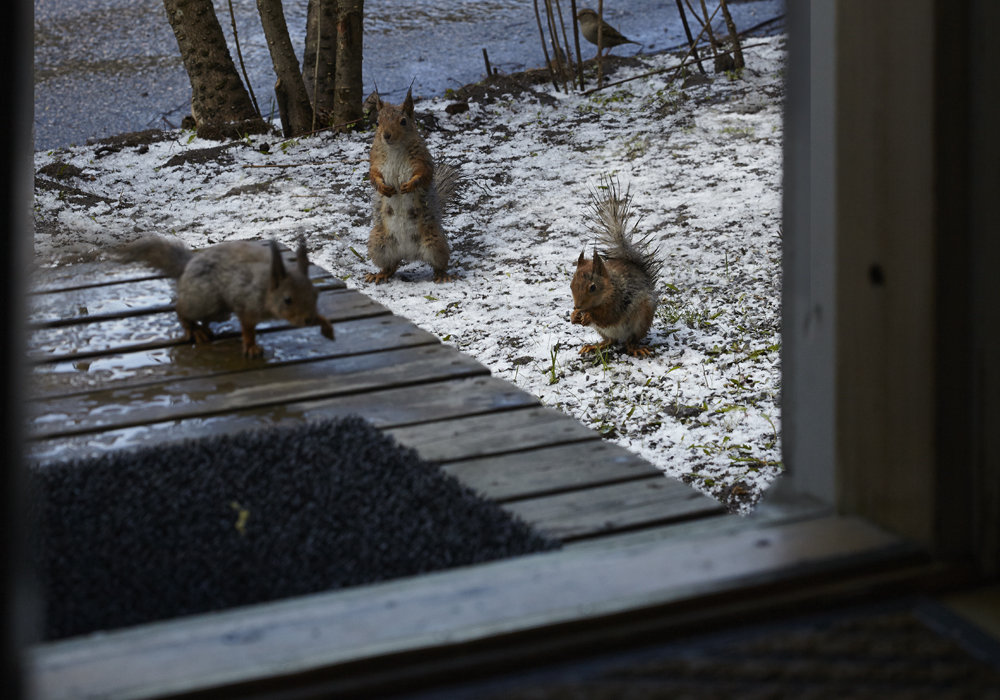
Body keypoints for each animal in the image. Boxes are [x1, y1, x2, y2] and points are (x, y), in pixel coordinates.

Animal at [119, 238, 334, 358]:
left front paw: (326, 324)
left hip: (220, 313)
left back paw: (203, 329)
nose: (308, 319)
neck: (266, 287)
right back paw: (193, 329)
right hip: (205, 301)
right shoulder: (246, 304)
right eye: (287, 300)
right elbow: (247, 327)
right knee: (181, 309)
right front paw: (251, 346)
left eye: (316, 294)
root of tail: (189, 265)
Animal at [368, 87, 460, 284]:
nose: (386, 135)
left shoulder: (422, 160)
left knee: (439, 264)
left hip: (435, 243)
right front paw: (383, 188)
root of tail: (408, 254)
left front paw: (409, 186)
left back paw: (442, 275)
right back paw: (380, 274)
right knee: (391, 265)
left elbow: (423, 175)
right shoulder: (375, 162)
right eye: (377, 122)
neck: (394, 148)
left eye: (403, 121)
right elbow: (373, 176)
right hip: (378, 244)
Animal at [572, 178, 664, 358]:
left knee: (630, 341)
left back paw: (635, 348)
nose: (578, 306)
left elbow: (608, 316)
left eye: (593, 287)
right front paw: (573, 316)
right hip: (603, 332)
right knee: (610, 341)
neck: (611, 287)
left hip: (641, 318)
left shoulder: (620, 299)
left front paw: (588, 316)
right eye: (571, 285)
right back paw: (594, 346)